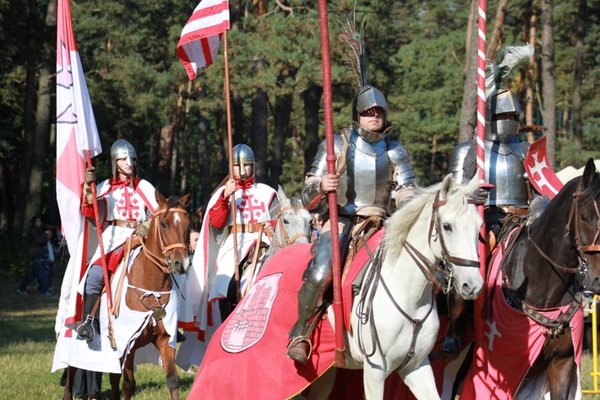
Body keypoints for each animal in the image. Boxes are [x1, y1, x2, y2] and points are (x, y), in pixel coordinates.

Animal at [308, 175, 486, 400]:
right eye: (447, 226)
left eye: (478, 227)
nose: (473, 285)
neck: (409, 296)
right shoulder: (374, 371)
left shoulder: (416, 366)